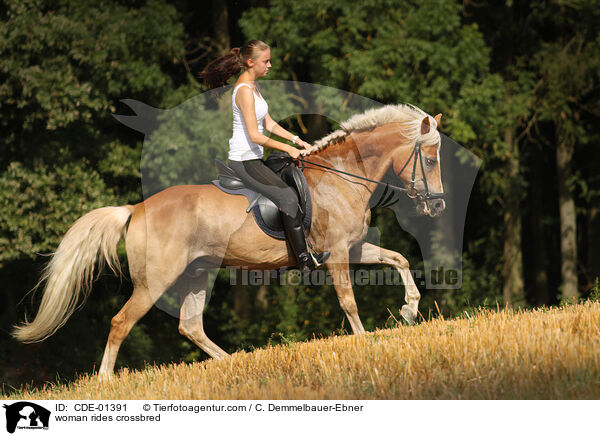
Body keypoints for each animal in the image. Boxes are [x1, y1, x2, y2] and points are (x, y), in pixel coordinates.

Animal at [11, 102, 446, 378]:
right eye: (429, 160)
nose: (438, 205)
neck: (340, 178)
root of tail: (137, 208)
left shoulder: (352, 248)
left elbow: (399, 259)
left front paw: (409, 310)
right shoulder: (338, 252)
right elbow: (349, 300)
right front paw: (363, 342)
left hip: (196, 274)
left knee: (190, 326)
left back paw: (232, 362)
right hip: (155, 280)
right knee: (122, 322)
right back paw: (105, 382)